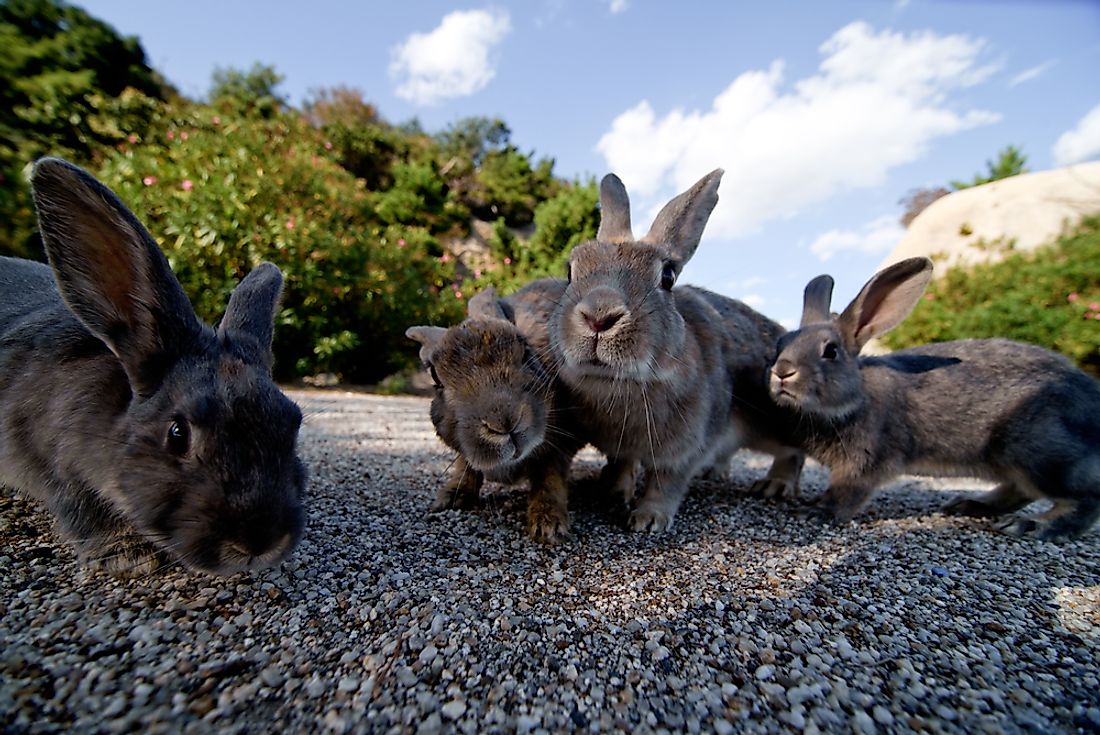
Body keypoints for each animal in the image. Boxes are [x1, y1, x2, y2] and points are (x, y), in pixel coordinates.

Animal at [407, 278, 594, 543]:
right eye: (435, 377)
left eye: (526, 351)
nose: (505, 422)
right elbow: (465, 464)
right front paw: (449, 499)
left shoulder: (560, 443)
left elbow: (549, 476)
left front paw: (548, 526)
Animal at [554, 170, 805, 530]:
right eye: (570, 270)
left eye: (668, 276)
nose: (599, 317)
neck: (622, 384)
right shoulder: (621, 449)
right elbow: (622, 465)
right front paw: (614, 494)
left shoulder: (685, 449)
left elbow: (666, 482)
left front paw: (647, 519)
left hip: (774, 423)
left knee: (795, 451)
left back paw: (775, 485)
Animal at [770, 257, 1100, 539]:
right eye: (780, 344)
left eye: (830, 351)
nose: (782, 371)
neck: (856, 397)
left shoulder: (866, 461)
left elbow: (847, 493)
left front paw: (816, 512)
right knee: (1021, 491)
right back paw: (972, 505)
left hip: (1042, 453)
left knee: (1083, 500)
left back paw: (1031, 525)